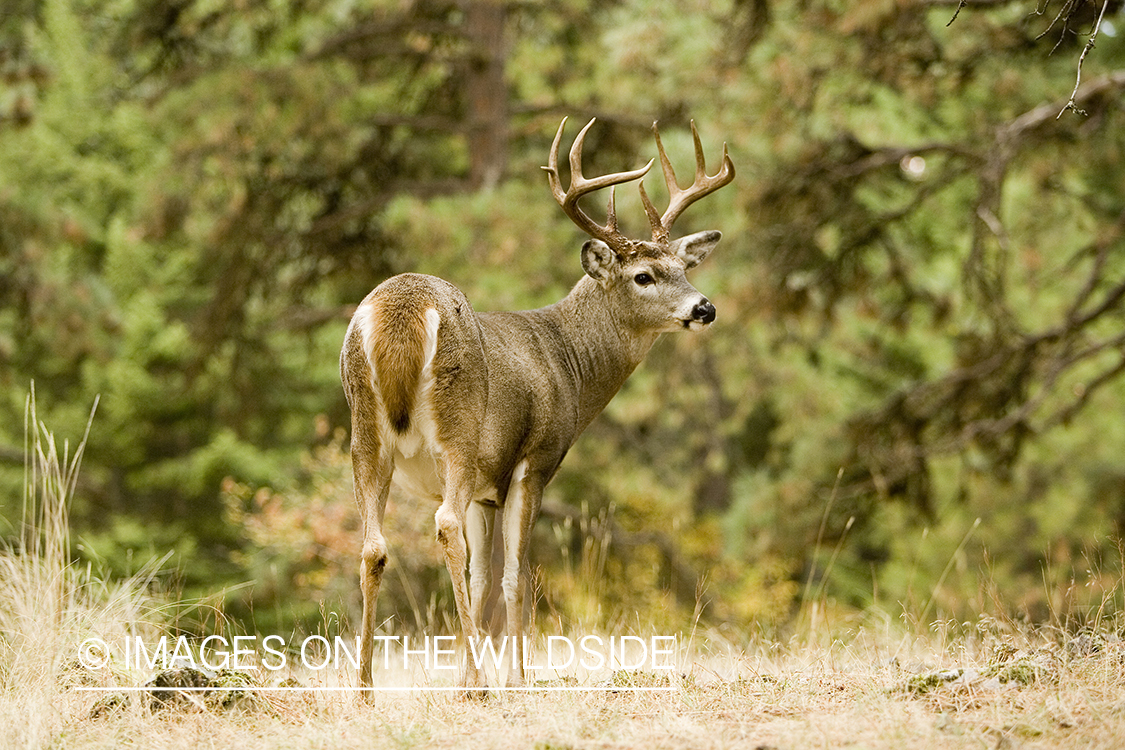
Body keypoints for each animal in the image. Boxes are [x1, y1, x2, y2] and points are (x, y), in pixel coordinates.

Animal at [337, 118, 733, 692]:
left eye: (683, 266)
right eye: (643, 276)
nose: (705, 308)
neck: (568, 363)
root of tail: (402, 311)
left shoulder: (485, 490)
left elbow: (481, 578)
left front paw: (466, 676)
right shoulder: (535, 460)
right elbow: (515, 577)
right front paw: (513, 679)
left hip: (364, 430)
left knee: (373, 544)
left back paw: (365, 689)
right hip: (457, 428)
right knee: (443, 525)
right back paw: (478, 686)